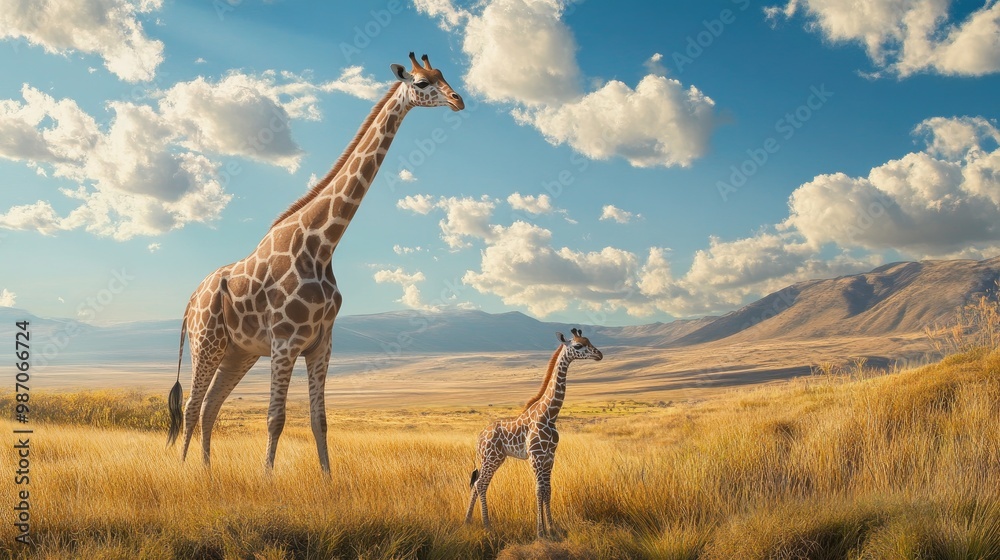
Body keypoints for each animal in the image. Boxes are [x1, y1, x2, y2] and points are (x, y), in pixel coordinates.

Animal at [165, 53, 464, 473]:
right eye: (422, 83)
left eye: (442, 75)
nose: (458, 100)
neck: (322, 245)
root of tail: (190, 301)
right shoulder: (285, 342)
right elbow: (275, 418)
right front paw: (267, 478)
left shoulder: (321, 344)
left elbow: (319, 419)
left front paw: (328, 479)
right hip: (206, 341)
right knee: (193, 405)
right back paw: (184, 471)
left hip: (238, 351)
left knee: (210, 405)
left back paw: (207, 472)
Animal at [465, 329, 603, 538]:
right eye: (578, 345)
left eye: (589, 341)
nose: (599, 354)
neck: (549, 414)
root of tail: (479, 437)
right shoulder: (536, 457)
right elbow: (538, 490)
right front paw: (540, 531)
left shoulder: (549, 457)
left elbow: (548, 489)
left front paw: (552, 528)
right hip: (491, 457)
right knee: (481, 484)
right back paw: (487, 525)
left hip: (492, 458)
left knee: (476, 483)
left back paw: (468, 521)